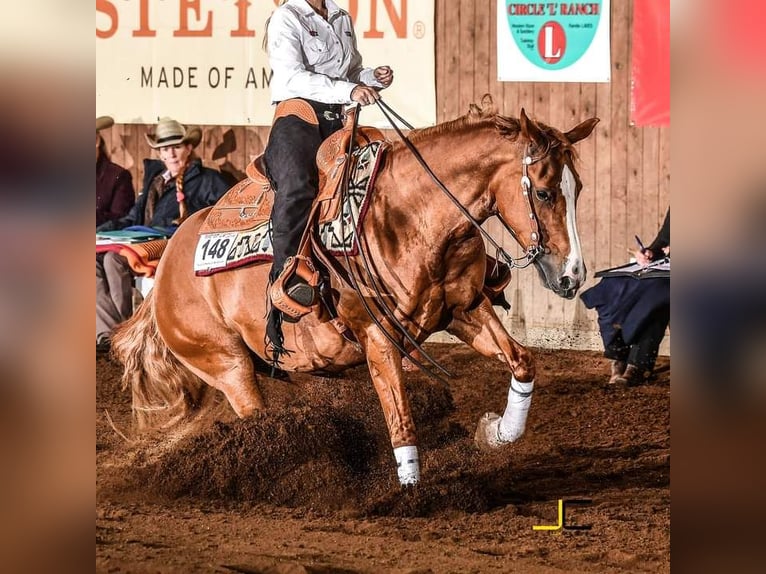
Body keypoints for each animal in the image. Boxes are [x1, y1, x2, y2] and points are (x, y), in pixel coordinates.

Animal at [114, 98, 600, 486]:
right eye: (544, 192)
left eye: (578, 188)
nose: (573, 275)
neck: (411, 214)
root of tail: (166, 262)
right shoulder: (378, 336)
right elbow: (400, 418)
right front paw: (411, 492)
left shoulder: (466, 310)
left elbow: (522, 361)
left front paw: (497, 432)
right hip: (227, 365)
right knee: (255, 416)